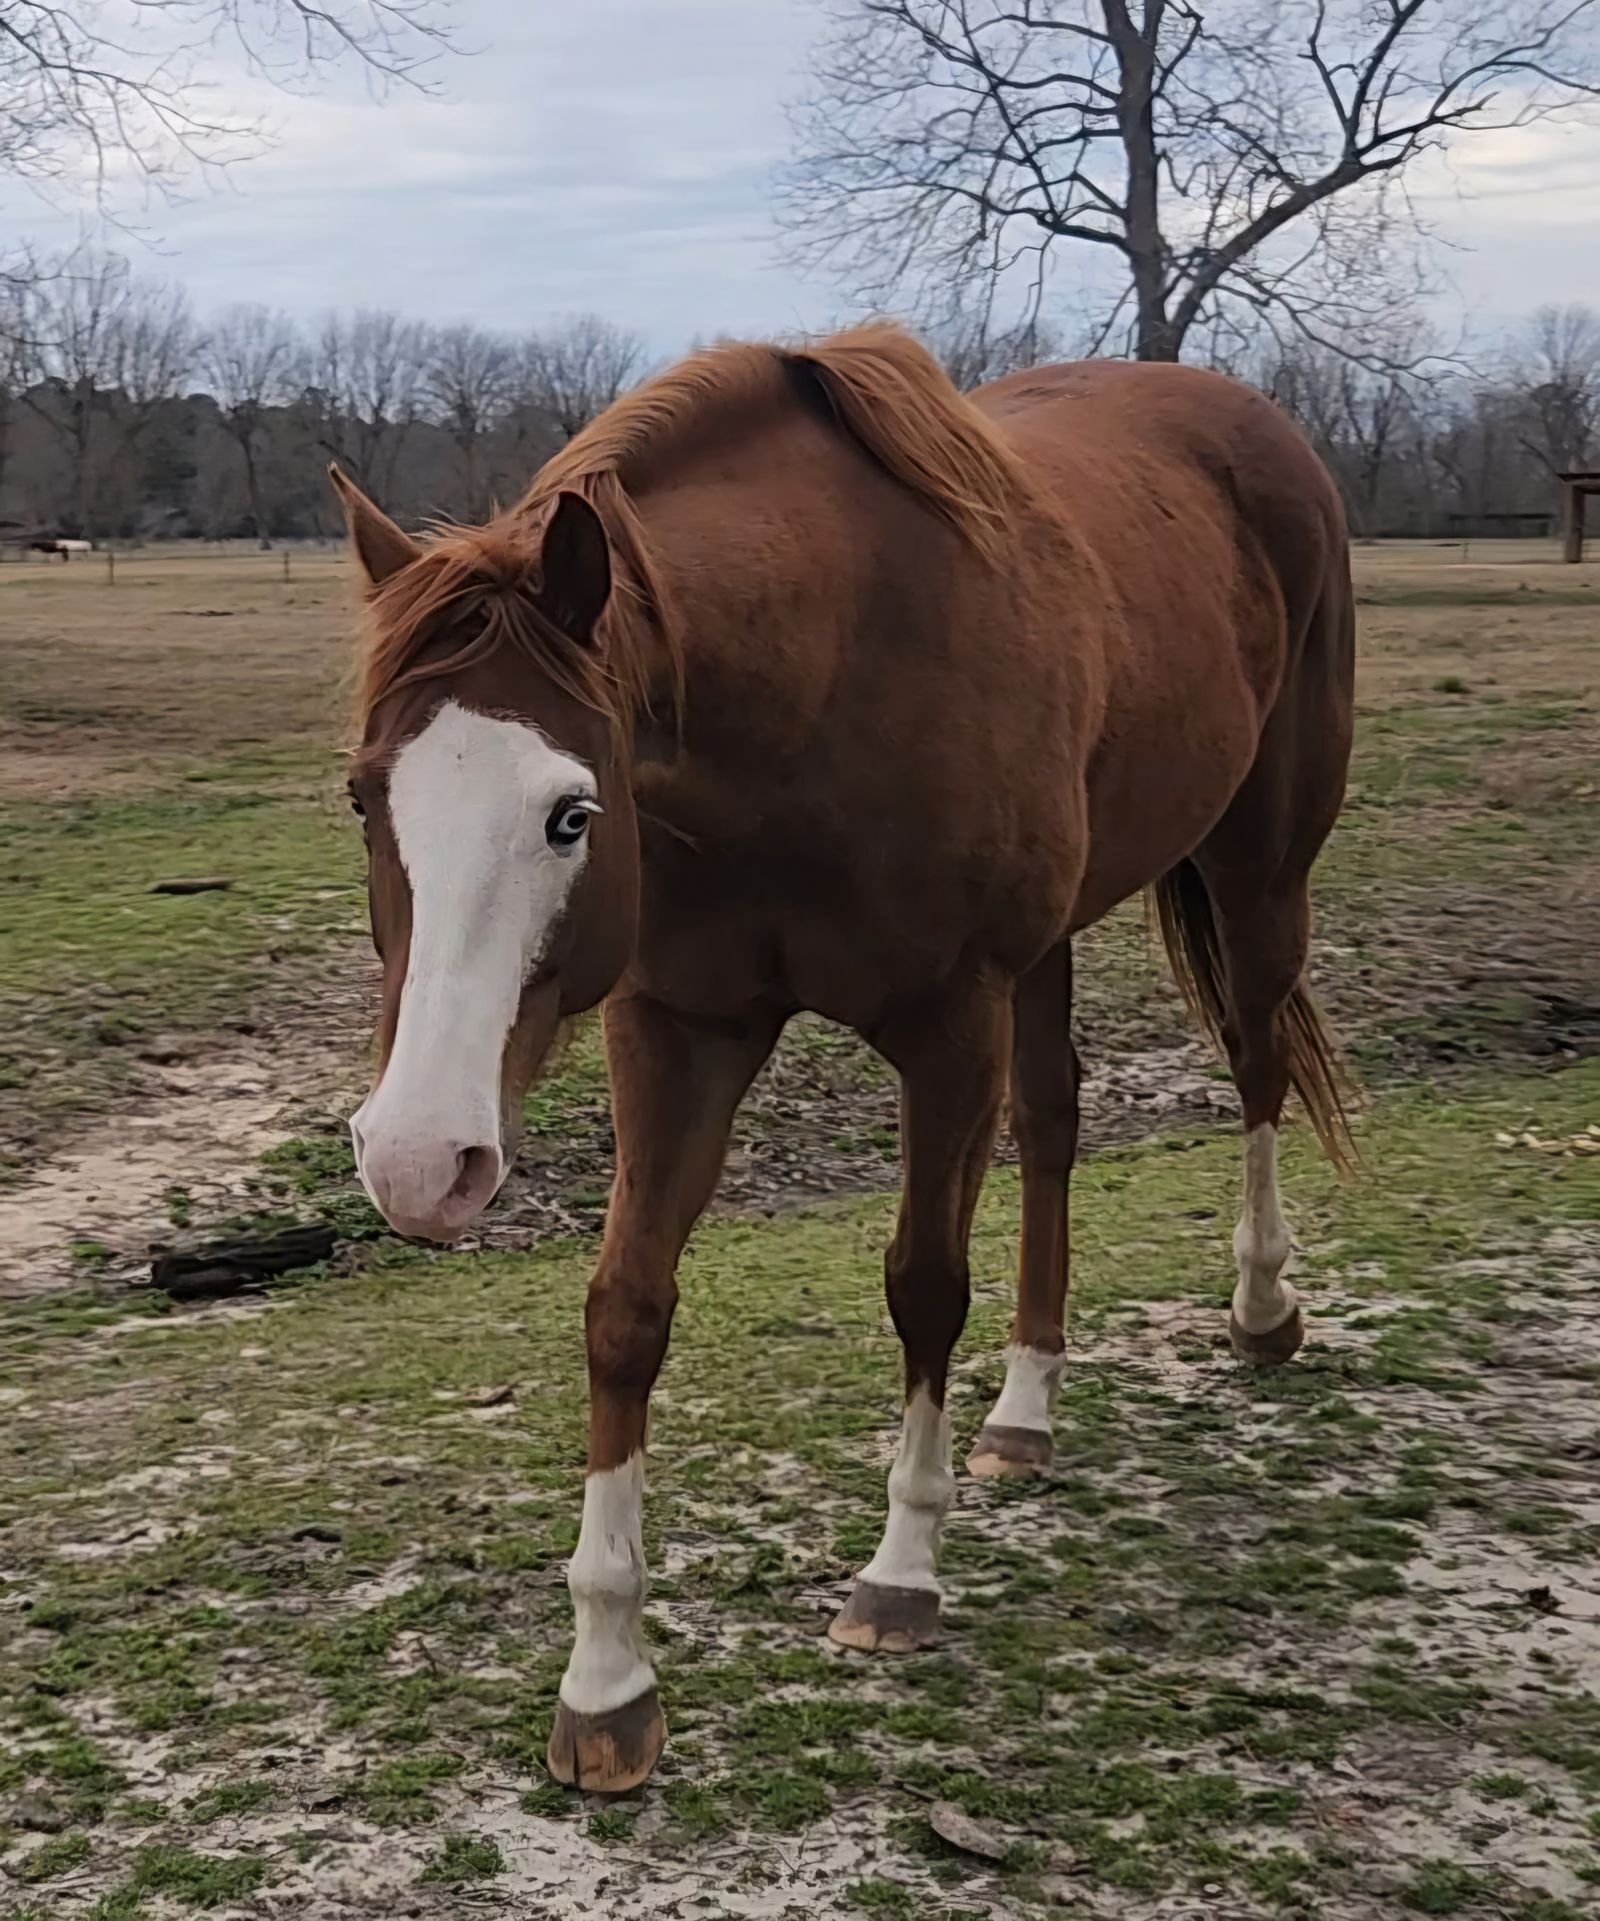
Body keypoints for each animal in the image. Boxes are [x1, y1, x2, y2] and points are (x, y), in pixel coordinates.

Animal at [333, 323, 1354, 1795]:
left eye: (573, 812)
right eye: (365, 794)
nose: (418, 1159)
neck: (813, 692)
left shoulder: (948, 1022)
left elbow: (923, 1285)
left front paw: (901, 1575)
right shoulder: (680, 1027)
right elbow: (624, 1310)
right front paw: (605, 1680)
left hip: (1260, 869)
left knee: (1259, 1064)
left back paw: (1264, 1308)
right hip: (1051, 945)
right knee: (1056, 1123)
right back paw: (1026, 1408)